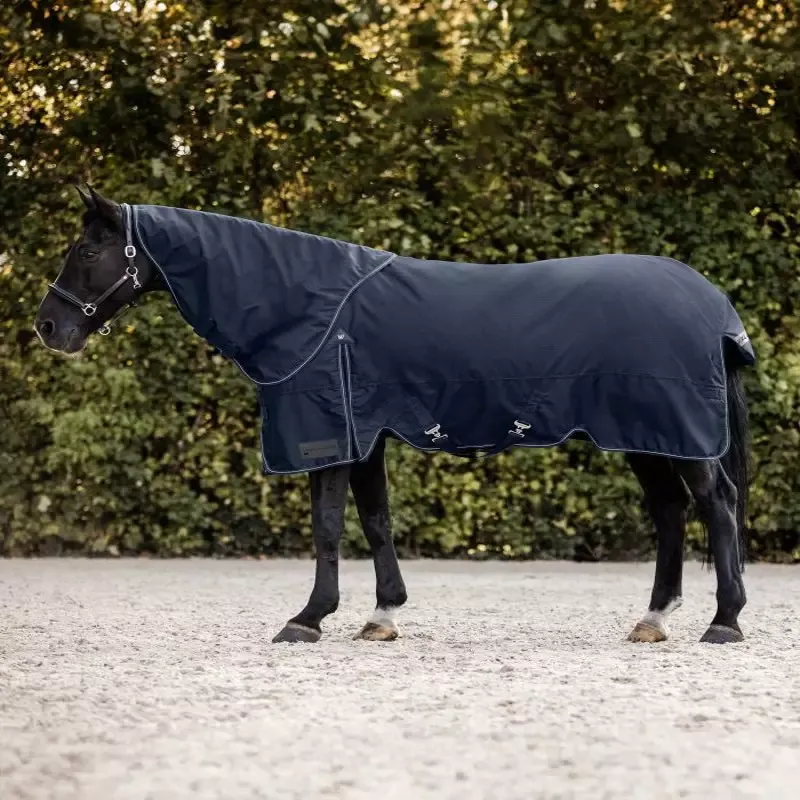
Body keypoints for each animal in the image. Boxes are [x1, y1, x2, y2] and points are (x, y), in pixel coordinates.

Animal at [35, 186, 755, 645]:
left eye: (88, 252)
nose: (48, 327)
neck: (305, 304)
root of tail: (711, 302)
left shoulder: (328, 436)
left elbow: (327, 527)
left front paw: (309, 618)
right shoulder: (364, 436)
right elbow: (376, 521)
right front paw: (382, 616)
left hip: (678, 432)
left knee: (716, 504)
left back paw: (725, 621)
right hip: (646, 435)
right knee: (670, 511)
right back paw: (654, 619)